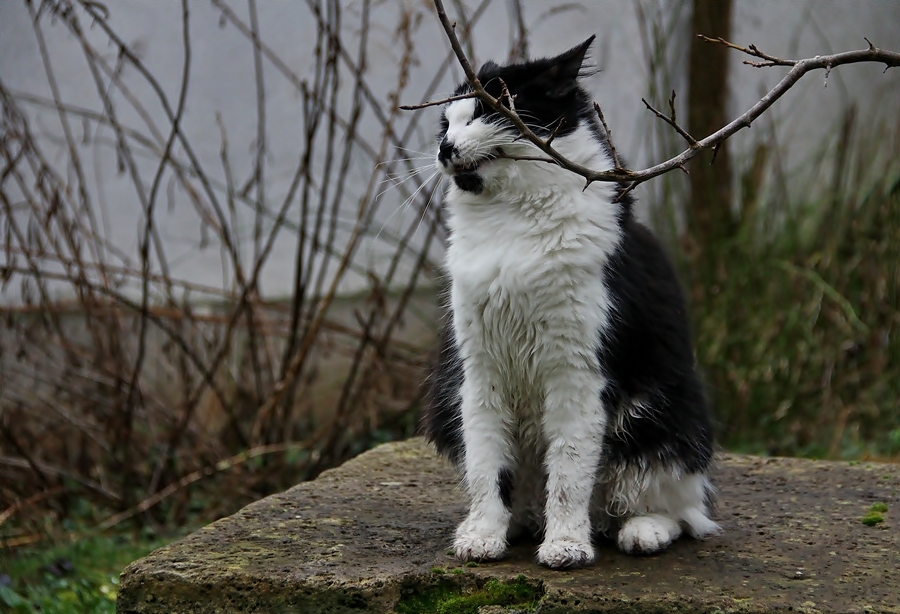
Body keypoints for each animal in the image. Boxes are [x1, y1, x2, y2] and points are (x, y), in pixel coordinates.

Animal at [422, 36, 724, 572]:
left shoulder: (576, 374)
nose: (444, 147)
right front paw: (483, 536)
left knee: (679, 511)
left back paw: (637, 532)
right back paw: (522, 525)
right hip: (446, 402)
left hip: (663, 418)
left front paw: (565, 547)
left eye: (487, 111)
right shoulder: (479, 373)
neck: (509, 226)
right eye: (446, 125)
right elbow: (486, 468)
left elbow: (567, 473)